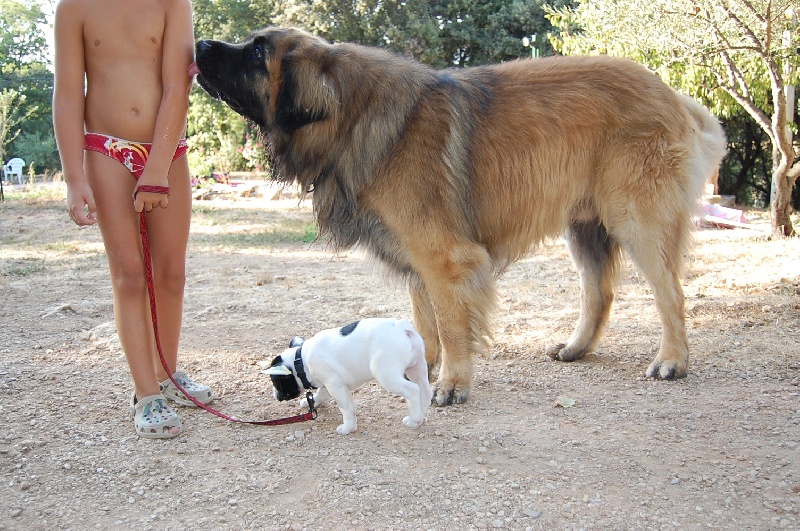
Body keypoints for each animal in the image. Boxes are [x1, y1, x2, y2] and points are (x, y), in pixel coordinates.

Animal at [192, 27, 724, 406]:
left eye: (258, 53)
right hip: (586, 226)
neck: (354, 115)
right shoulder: (417, 260)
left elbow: (449, 324)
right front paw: (418, 368)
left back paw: (672, 361)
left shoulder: (443, 258)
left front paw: (453, 384)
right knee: (600, 293)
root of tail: (673, 95)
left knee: (670, 293)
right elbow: (423, 324)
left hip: (638, 219)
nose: (200, 43)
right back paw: (576, 348)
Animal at [264, 318, 434, 434]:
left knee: (413, 390)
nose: (275, 395)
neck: (301, 361)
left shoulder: (335, 385)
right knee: (425, 391)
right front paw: (310, 403)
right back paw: (420, 416)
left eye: (276, 382)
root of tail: (402, 328)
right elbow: (321, 395)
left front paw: (348, 427)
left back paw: (413, 420)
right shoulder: (329, 384)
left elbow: (346, 407)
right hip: (417, 367)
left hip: (385, 374)